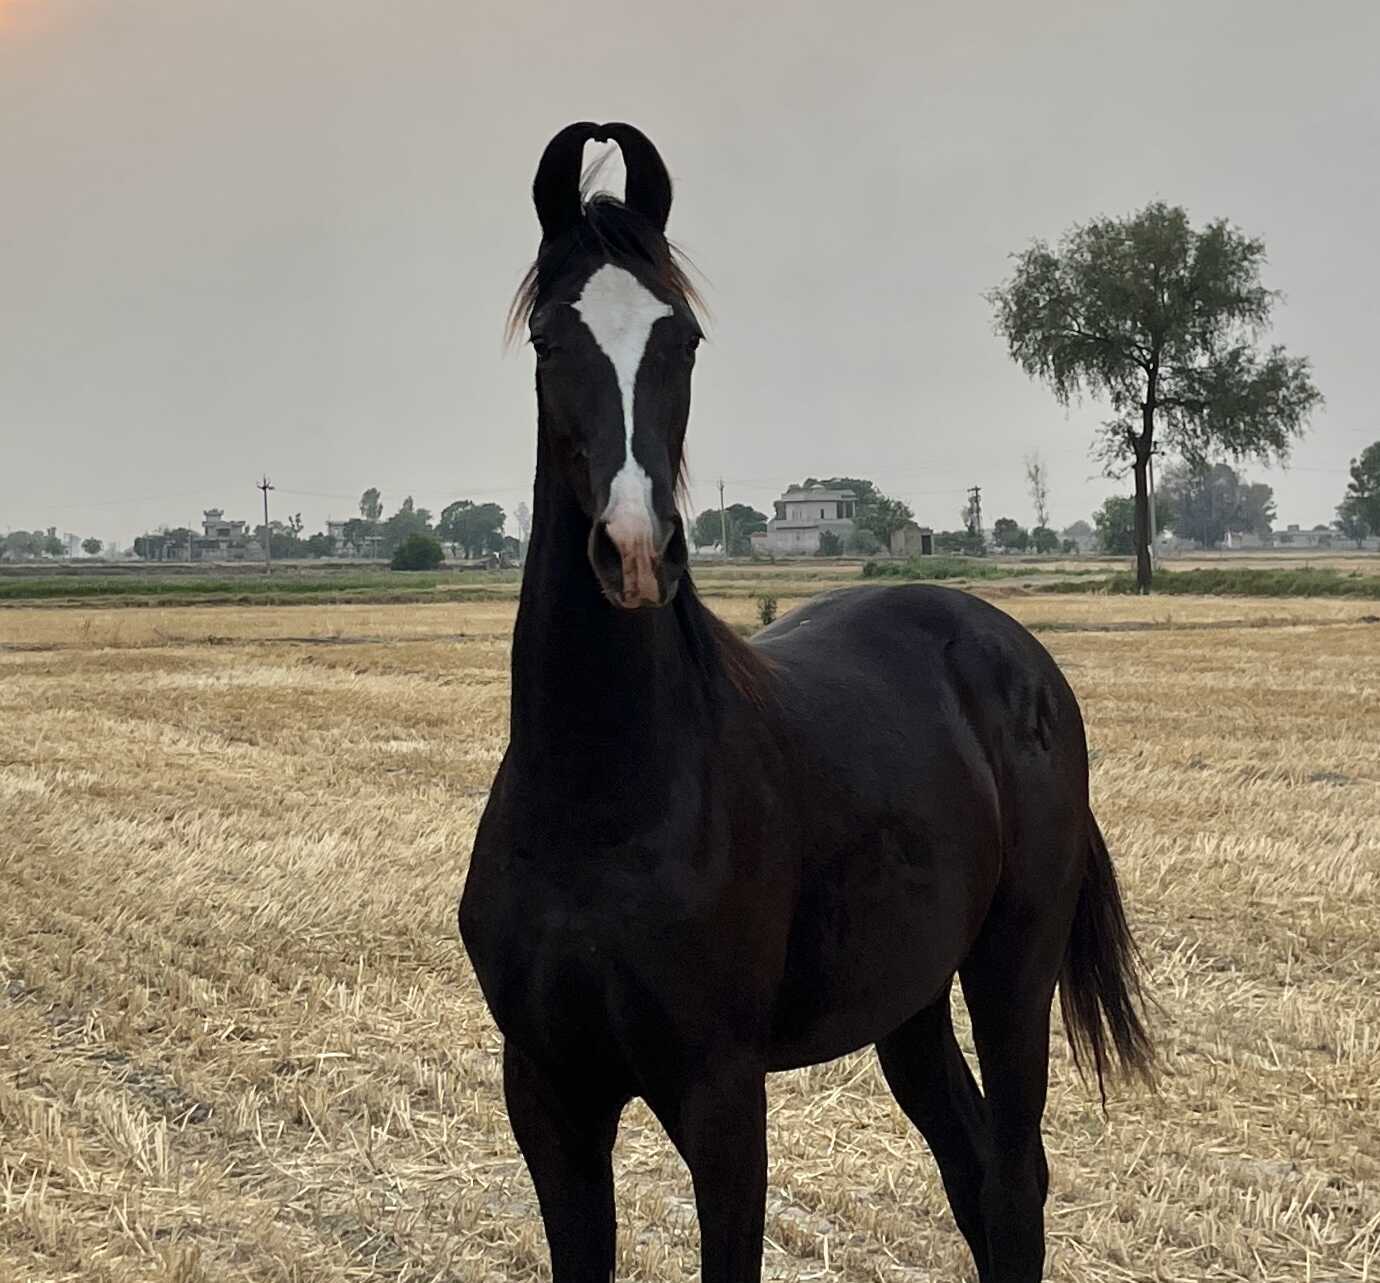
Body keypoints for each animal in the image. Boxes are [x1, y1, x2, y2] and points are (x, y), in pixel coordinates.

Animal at [460, 122, 1153, 1280]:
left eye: (684, 338)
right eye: (552, 339)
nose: (636, 550)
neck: (605, 799)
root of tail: (1018, 659)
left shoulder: (721, 1097)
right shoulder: (550, 1095)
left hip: (1012, 963)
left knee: (1015, 1182)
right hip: (910, 1001)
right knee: (972, 1171)